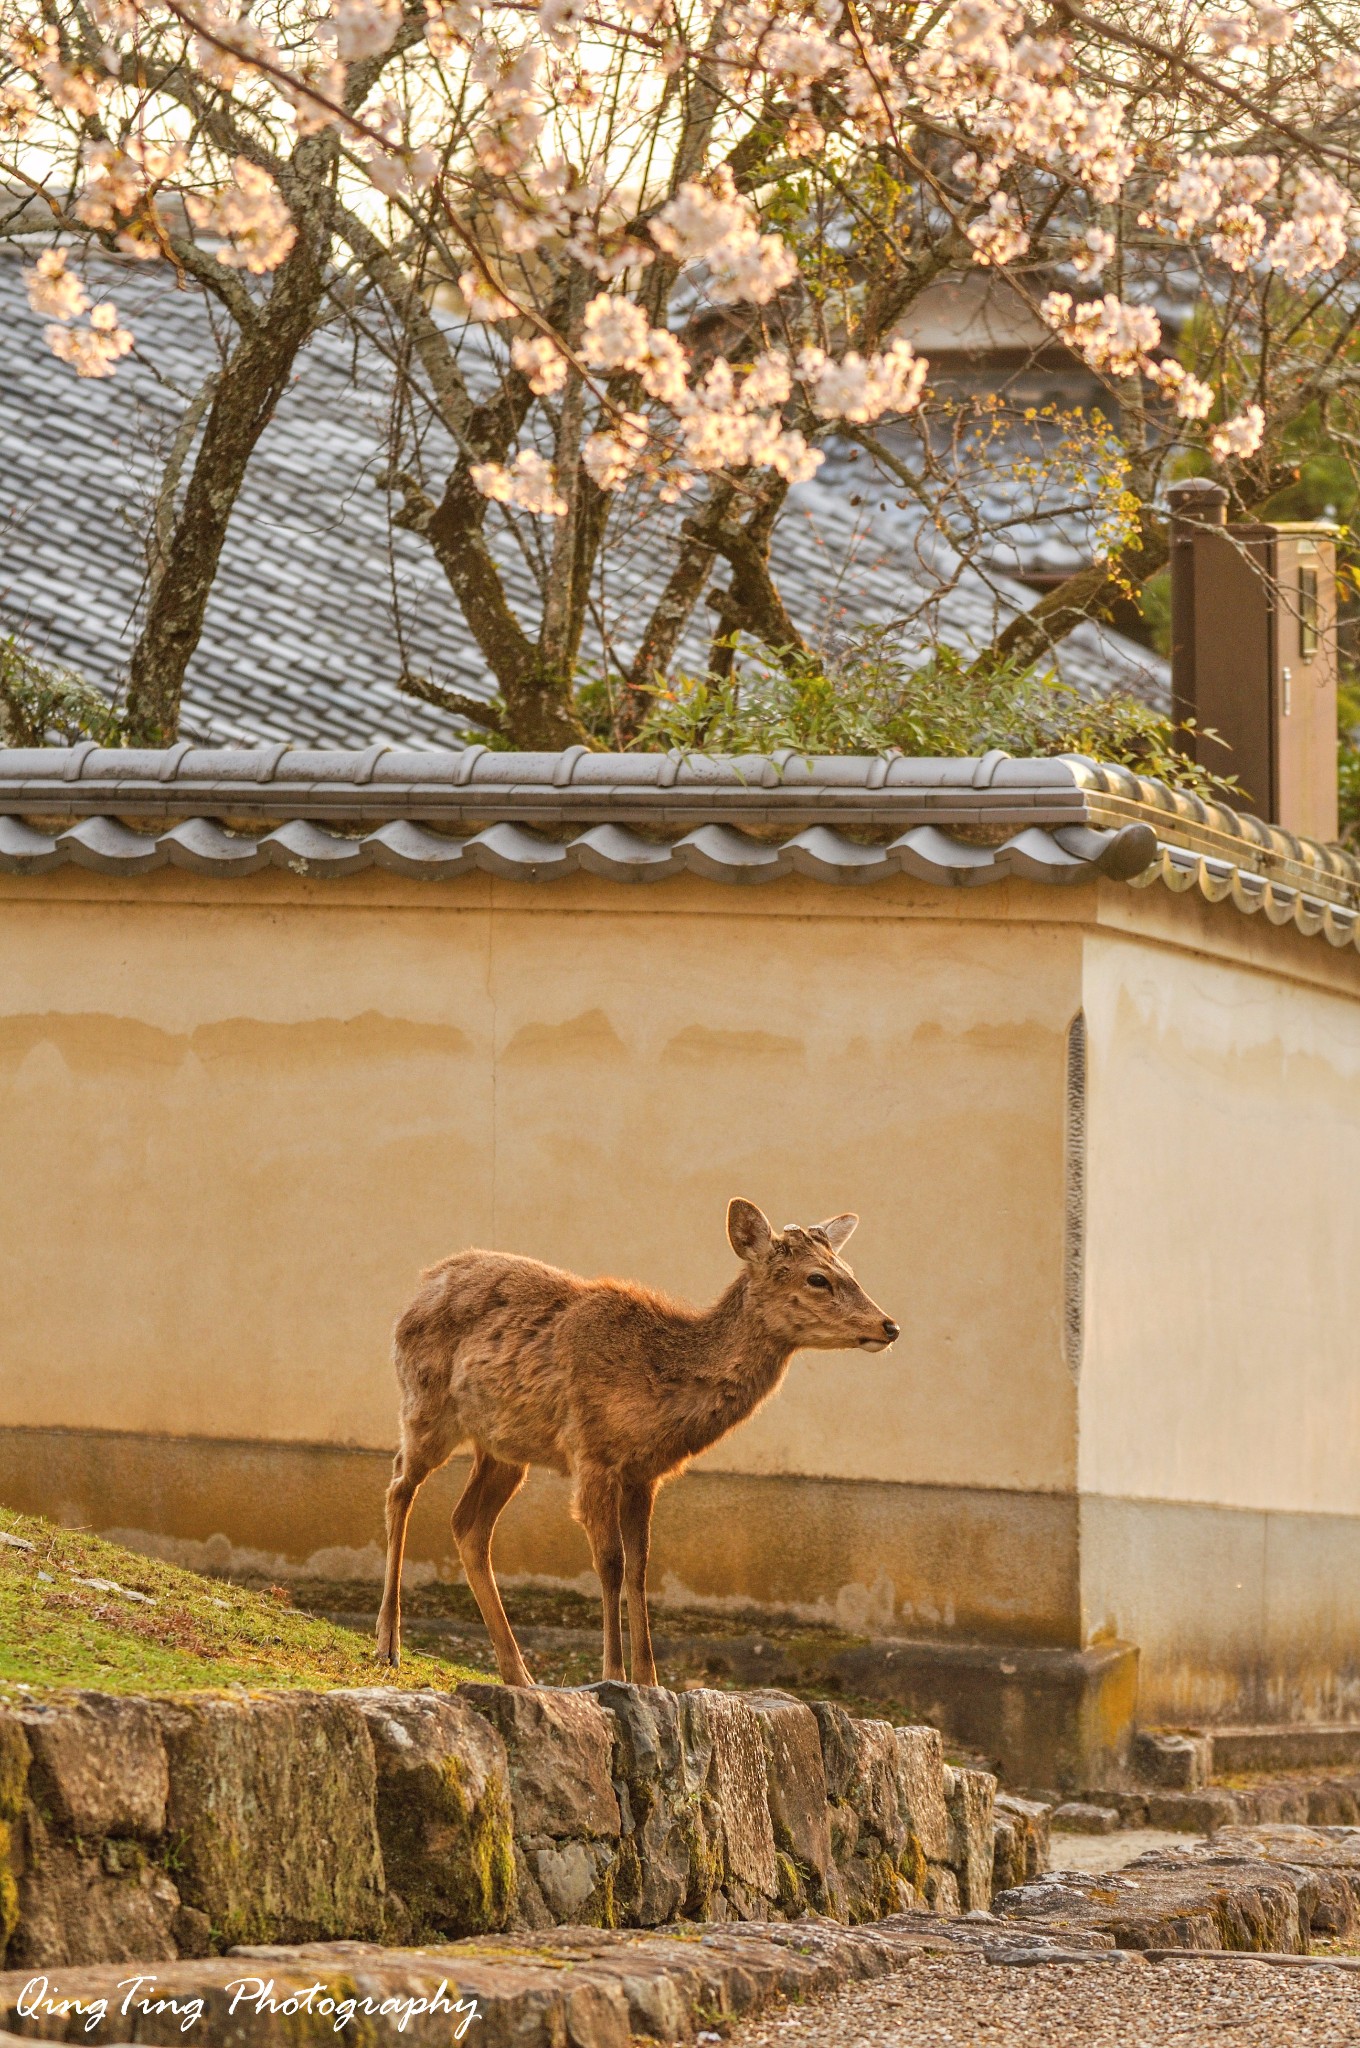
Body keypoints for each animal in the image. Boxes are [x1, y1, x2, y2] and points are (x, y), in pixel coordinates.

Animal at [376, 1196, 897, 1687]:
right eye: (817, 1278)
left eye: (850, 1272)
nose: (889, 1325)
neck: (657, 1379)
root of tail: (421, 1286)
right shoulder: (592, 1452)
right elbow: (610, 1563)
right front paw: (614, 1673)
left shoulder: (645, 1474)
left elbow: (641, 1567)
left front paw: (650, 1680)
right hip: (425, 1405)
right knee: (400, 1484)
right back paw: (389, 1644)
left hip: (503, 1447)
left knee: (468, 1525)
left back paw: (518, 1674)